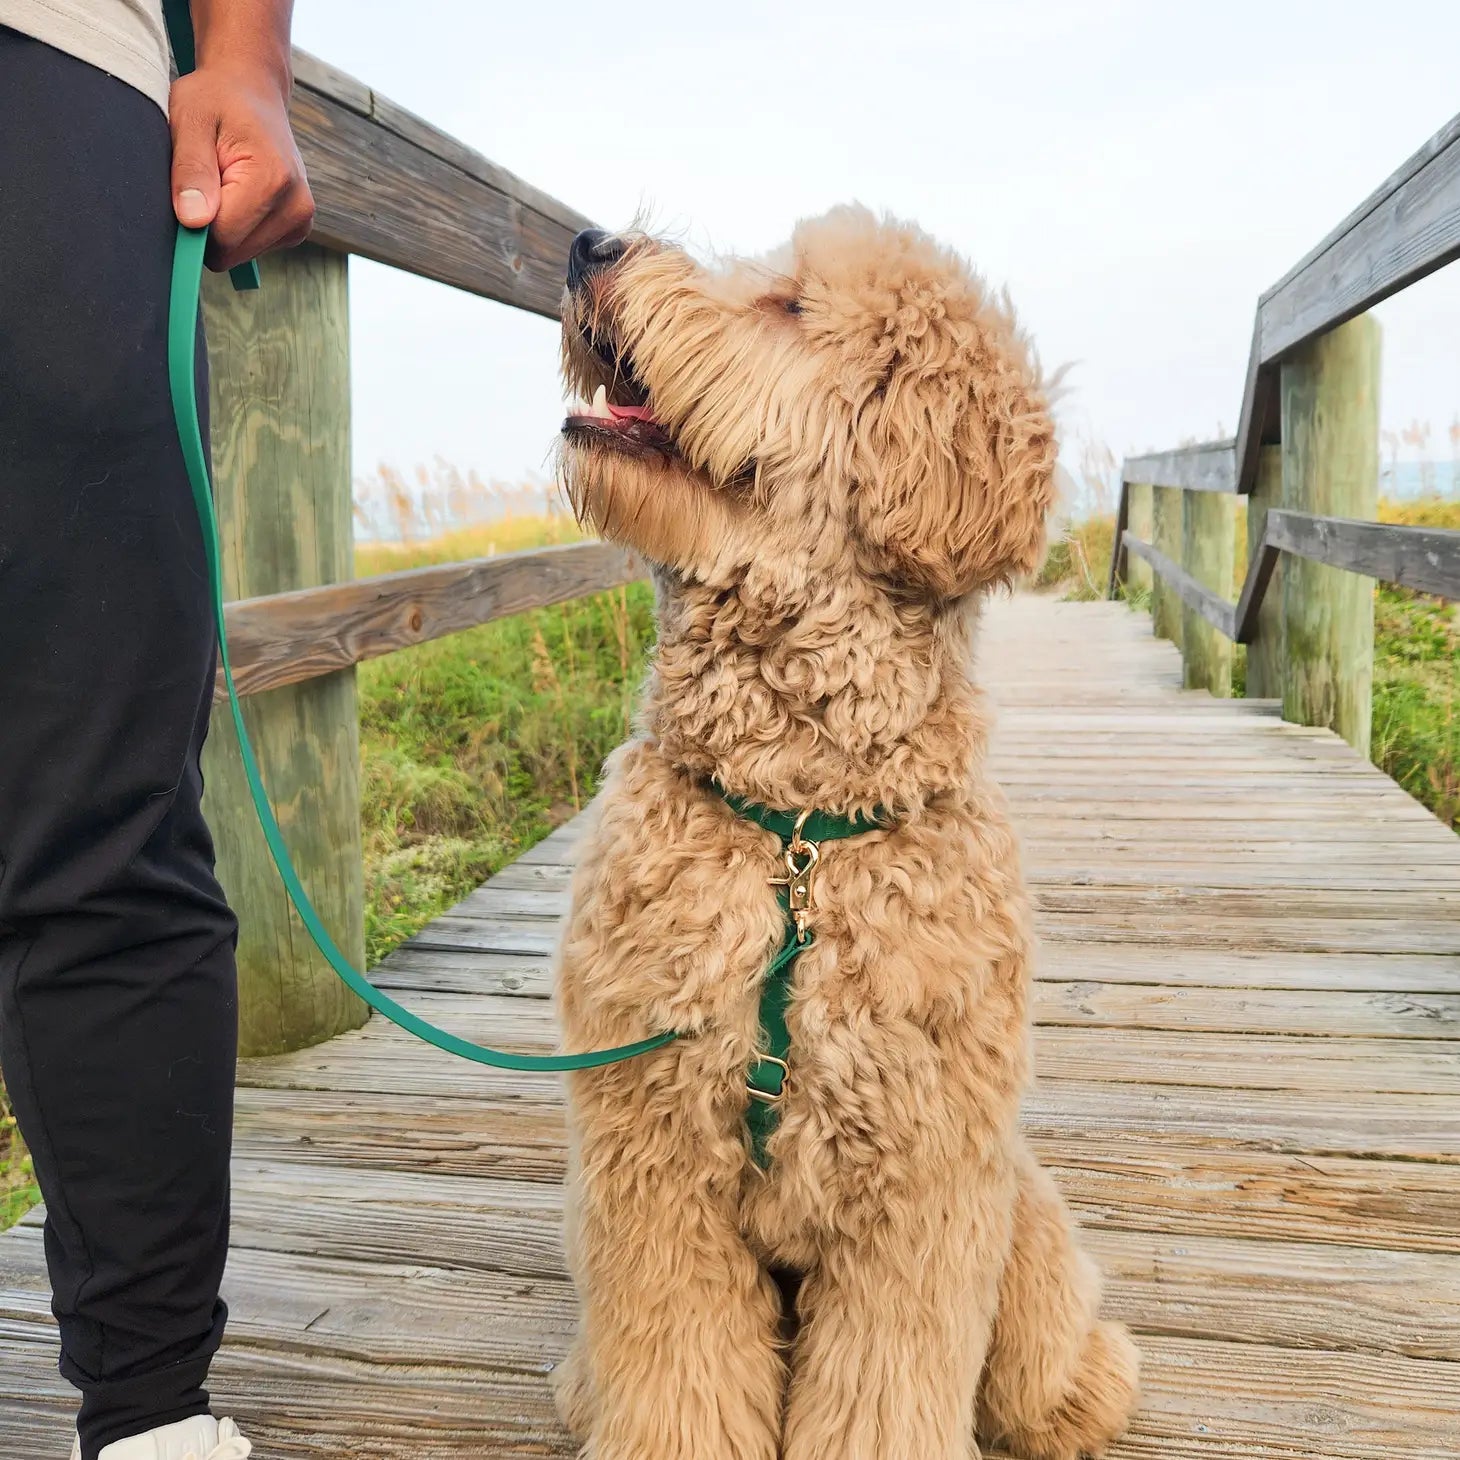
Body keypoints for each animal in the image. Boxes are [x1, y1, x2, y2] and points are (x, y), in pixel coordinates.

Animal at [548, 208, 1138, 1460]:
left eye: (785, 308)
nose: (586, 244)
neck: (798, 827)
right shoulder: (648, 1158)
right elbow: (672, 1370)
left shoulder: (920, 1183)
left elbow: (884, 1382)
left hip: (1016, 1215)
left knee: (1047, 1344)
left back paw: (1079, 1393)